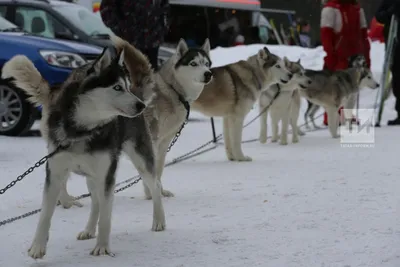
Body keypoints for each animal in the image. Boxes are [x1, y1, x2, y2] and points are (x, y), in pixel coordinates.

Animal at [1, 46, 152, 260]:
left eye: (127, 87)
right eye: (117, 87)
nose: (141, 105)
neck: (81, 130)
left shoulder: (107, 175)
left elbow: (106, 217)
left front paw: (102, 247)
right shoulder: (55, 172)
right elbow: (45, 214)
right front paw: (38, 246)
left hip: (140, 161)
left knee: (155, 187)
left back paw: (159, 222)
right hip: (92, 177)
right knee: (96, 202)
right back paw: (88, 229)